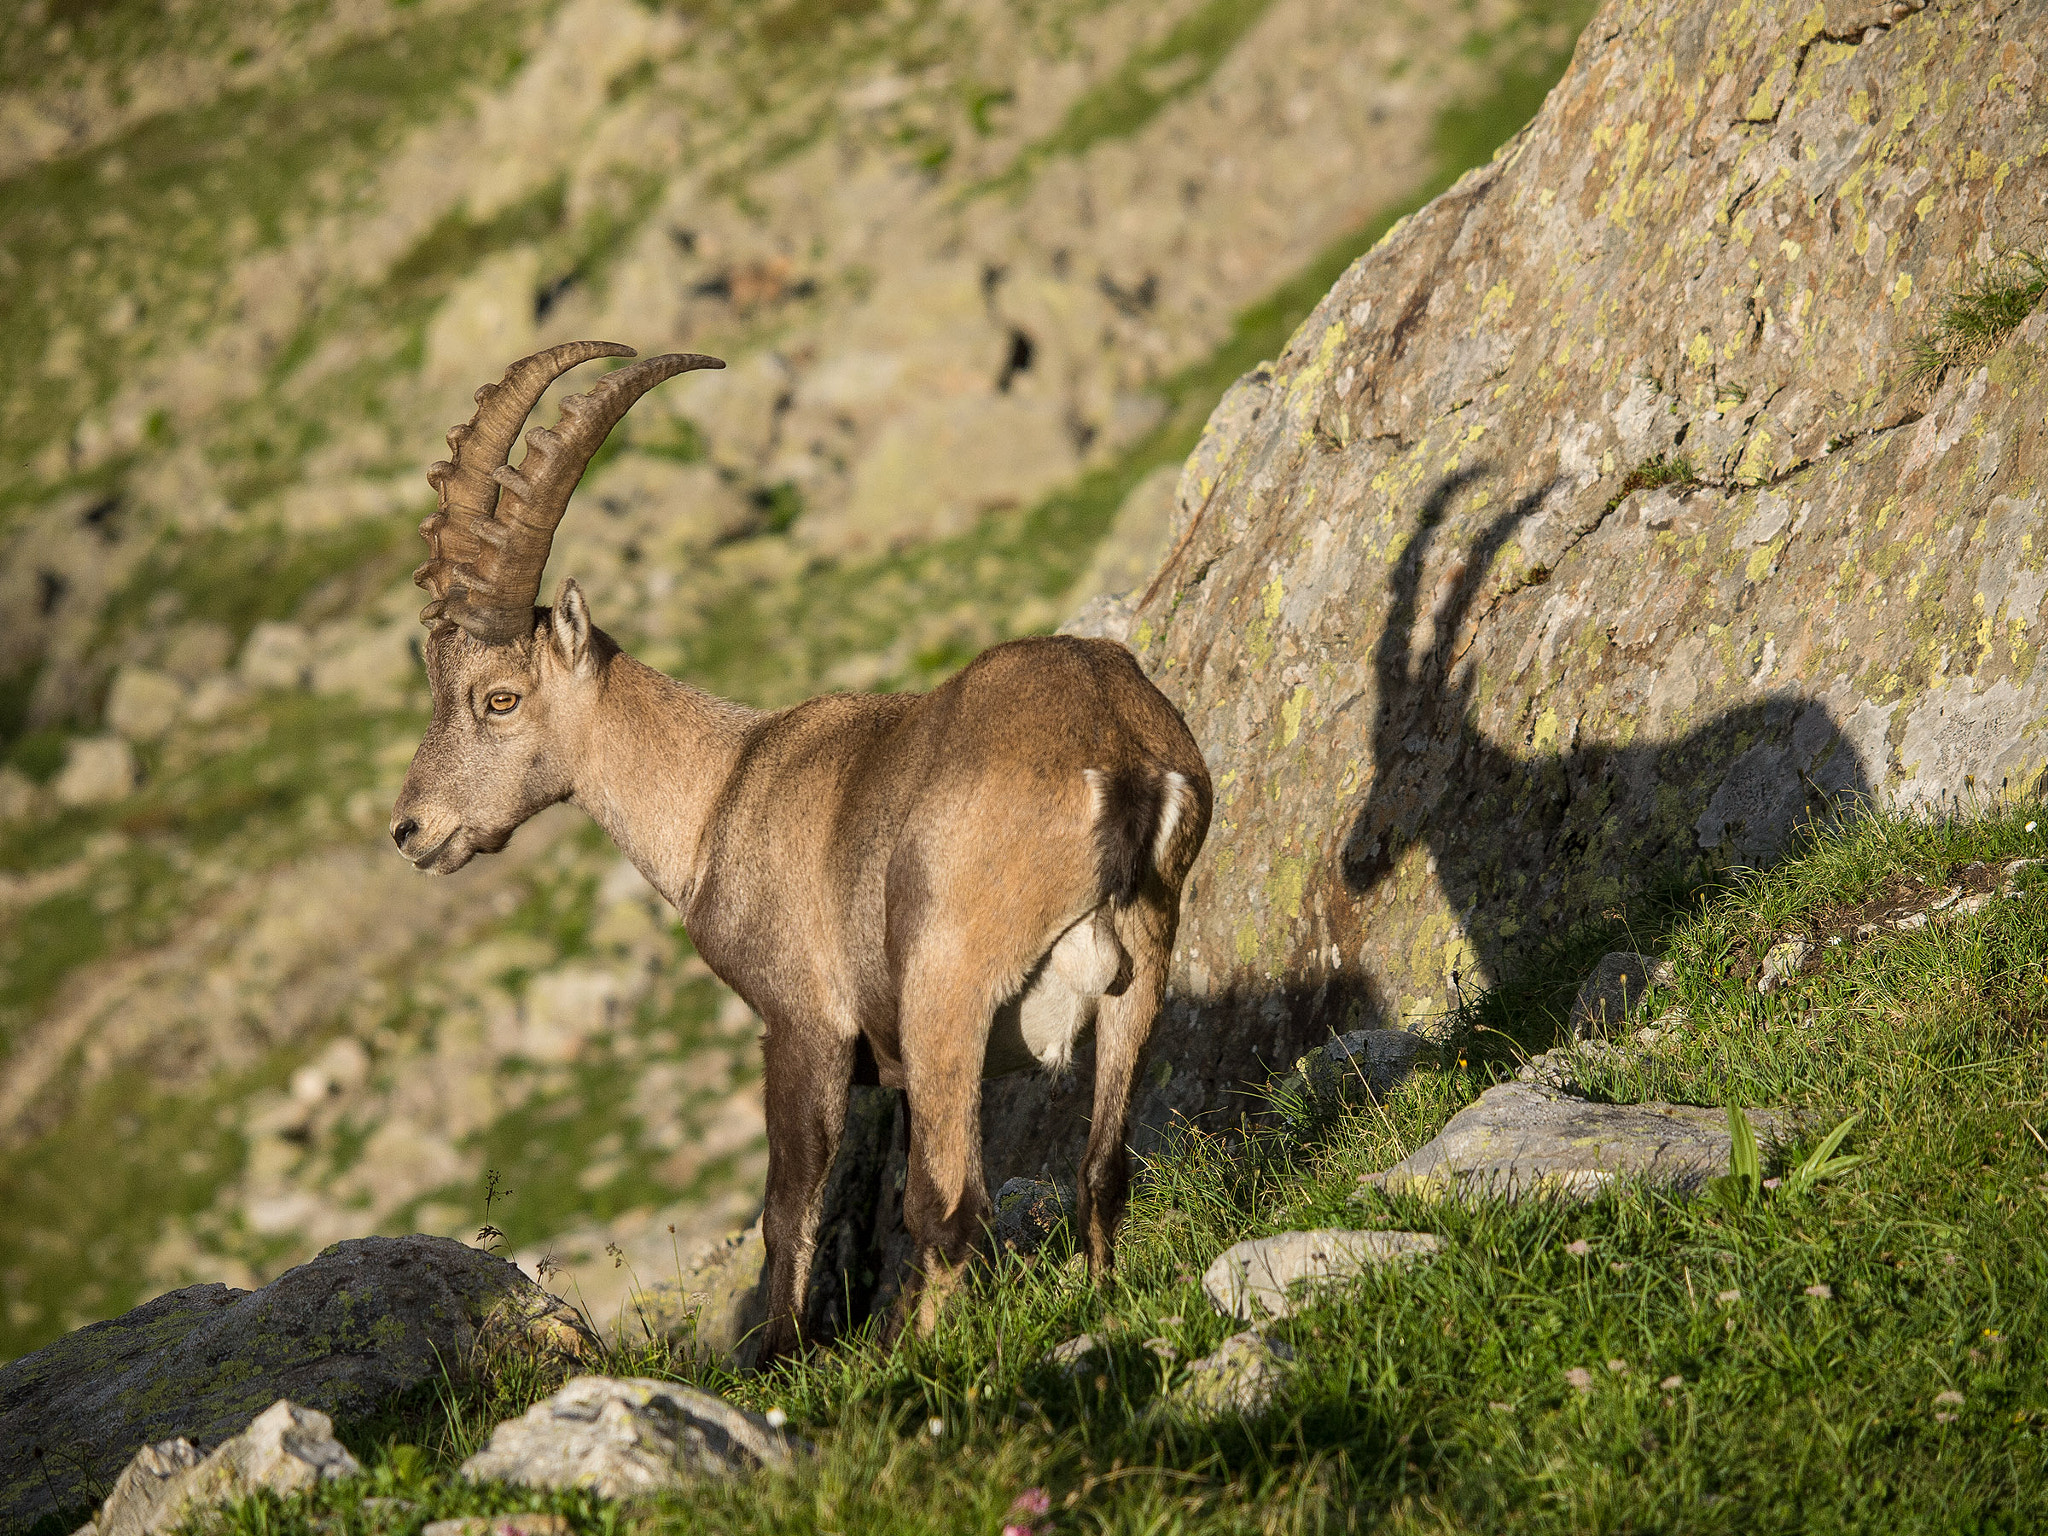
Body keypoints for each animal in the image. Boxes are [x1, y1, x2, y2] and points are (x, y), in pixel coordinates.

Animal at [389, 341, 1212, 1360]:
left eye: (499, 698)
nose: (411, 829)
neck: (721, 790)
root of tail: (1121, 760)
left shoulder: (801, 1023)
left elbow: (790, 1211)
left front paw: (783, 1360)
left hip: (949, 984)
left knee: (951, 1207)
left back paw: (915, 1360)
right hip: (1142, 966)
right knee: (1101, 1169)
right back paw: (1098, 1307)